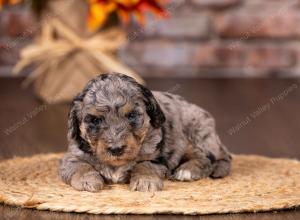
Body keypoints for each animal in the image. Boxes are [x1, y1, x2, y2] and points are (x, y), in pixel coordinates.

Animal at [59, 73, 232, 192]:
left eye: (132, 115)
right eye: (95, 120)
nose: (116, 149)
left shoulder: (158, 157)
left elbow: (145, 165)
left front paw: (146, 181)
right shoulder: (72, 155)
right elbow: (79, 165)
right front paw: (87, 180)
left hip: (198, 134)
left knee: (212, 158)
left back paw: (187, 171)